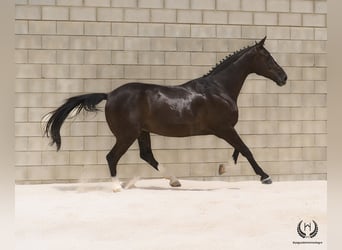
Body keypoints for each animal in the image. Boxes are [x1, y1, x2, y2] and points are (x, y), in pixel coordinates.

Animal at [44, 36, 288, 191]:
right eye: (268, 57)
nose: (284, 77)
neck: (219, 89)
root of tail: (110, 94)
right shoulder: (224, 128)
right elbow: (245, 149)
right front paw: (265, 177)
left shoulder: (226, 129)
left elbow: (238, 151)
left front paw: (222, 168)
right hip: (126, 135)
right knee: (112, 157)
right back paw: (117, 187)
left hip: (141, 132)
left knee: (147, 155)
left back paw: (173, 181)